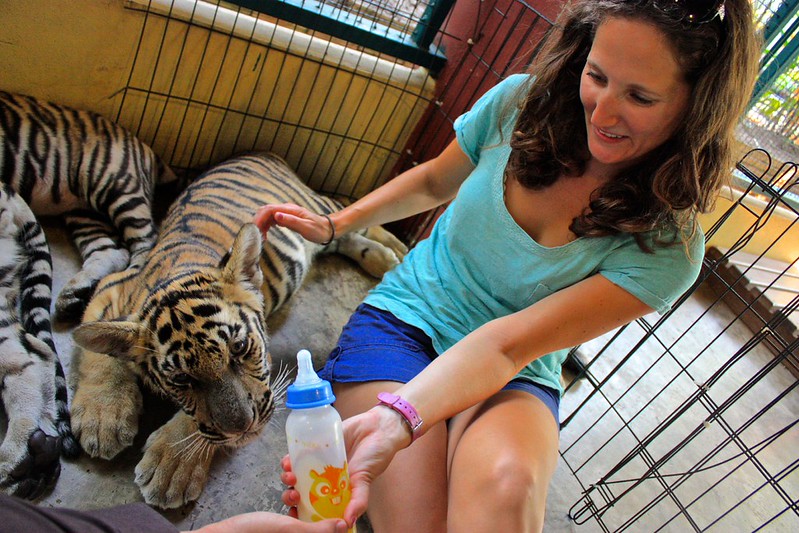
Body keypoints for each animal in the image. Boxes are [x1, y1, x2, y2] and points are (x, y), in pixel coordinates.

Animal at [0, 90, 176, 322]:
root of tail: (145, 147)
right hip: (84, 212)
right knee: (111, 251)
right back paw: (73, 295)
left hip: (115, 186)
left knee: (146, 244)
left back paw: (127, 282)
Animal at [69, 152, 407, 509]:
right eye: (181, 380)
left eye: (240, 348)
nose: (243, 427)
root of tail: (263, 153)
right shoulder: (111, 288)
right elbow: (97, 353)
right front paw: (103, 418)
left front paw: (171, 466)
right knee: (341, 232)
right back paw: (384, 258)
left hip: (311, 207)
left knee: (350, 212)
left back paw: (397, 250)